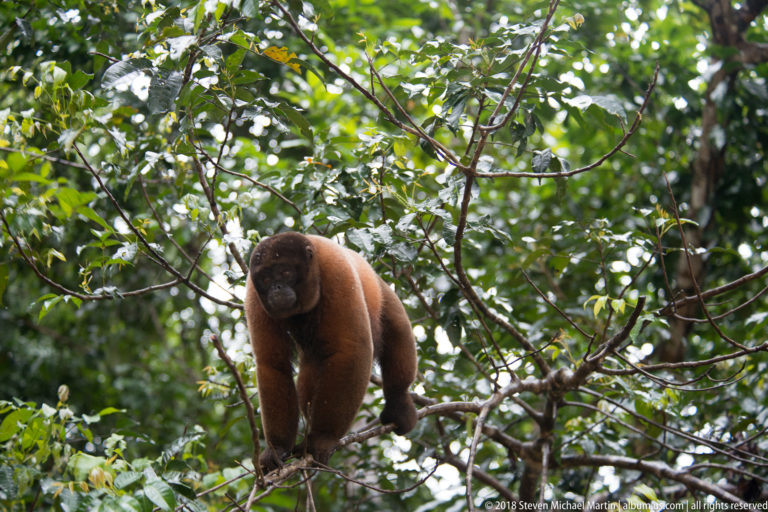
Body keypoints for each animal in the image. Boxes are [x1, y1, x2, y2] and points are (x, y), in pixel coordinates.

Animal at [244, 231, 418, 471]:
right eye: (266, 279)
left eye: (285, 272)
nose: (276, 288)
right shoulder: (254, 294)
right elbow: (273, 364)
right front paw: (277, 448)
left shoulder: (336, 269)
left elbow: (352, 348)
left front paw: (322, 438)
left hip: (382, 291)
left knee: (397, 327)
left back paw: (399, 404)